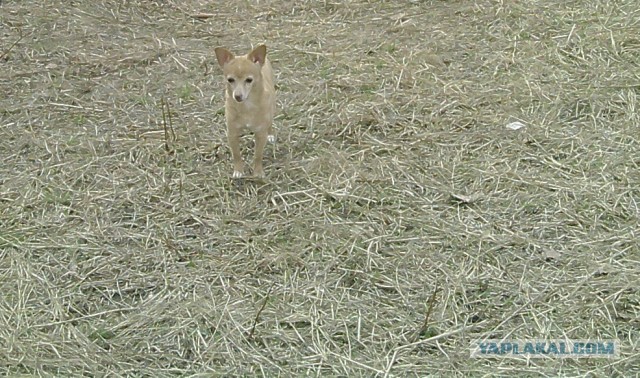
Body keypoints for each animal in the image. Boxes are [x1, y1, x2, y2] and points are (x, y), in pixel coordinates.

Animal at [215, 44, 276, 179]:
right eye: (230, 80)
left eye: (249, 80)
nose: (237, 96)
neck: (246, 106)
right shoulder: (232, 133)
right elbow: (236, 155)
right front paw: (238, 171)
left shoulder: (260, 134)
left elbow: (258, 155)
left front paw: (258, 172)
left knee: (270, 123)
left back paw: (271, 135)